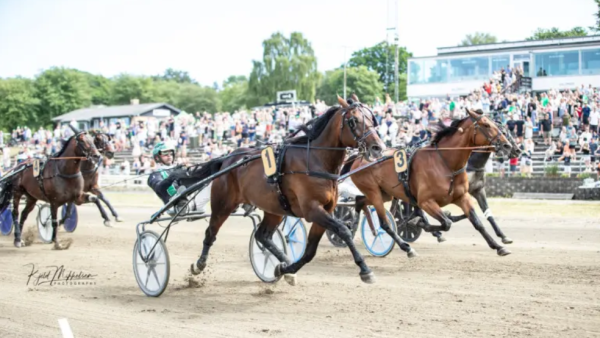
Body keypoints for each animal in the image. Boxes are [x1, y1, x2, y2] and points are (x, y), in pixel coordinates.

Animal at [344, 109, 512, 258]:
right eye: (486, 125)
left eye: (496, 124)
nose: (507, 146)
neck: (445, 163)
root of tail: (358, 157)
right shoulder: (426, 202)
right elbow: (446, 223)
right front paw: (419, 223)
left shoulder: (462, 197)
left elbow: (477, 223)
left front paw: (498, 246)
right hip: (374, 192)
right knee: (384, 223)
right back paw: (406, 247)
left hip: (385, 193)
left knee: (360, 201)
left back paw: (354, 224)